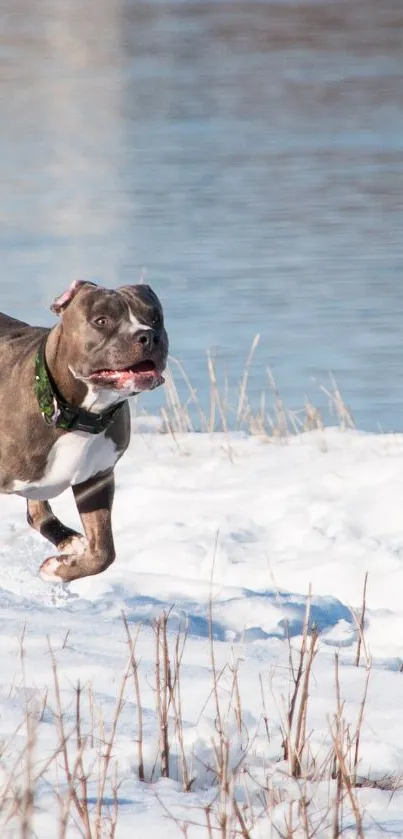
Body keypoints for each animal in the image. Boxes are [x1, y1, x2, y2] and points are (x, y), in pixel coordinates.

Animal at [0, 282, 169, 584]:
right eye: (101, 321)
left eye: (154, 318)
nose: (148, 336)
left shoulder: (96, 480)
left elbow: (103, 552)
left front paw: (59, 569)